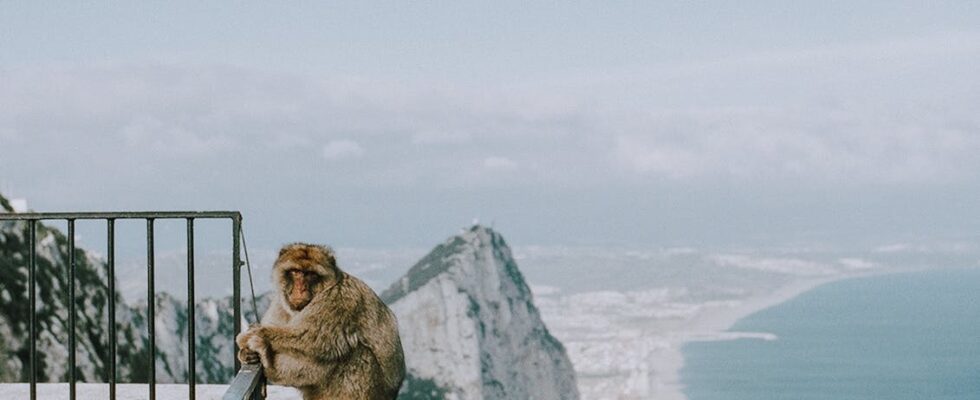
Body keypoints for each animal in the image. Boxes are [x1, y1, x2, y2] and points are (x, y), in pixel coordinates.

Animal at [237, 242, 406, 398]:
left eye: (311, 274)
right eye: (296, 272)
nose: (301, 289)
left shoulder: (338, 299)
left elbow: (311, 336)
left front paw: (251, 335)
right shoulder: (280, 303)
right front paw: (245, 353)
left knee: (348, 351)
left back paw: (272, 367)